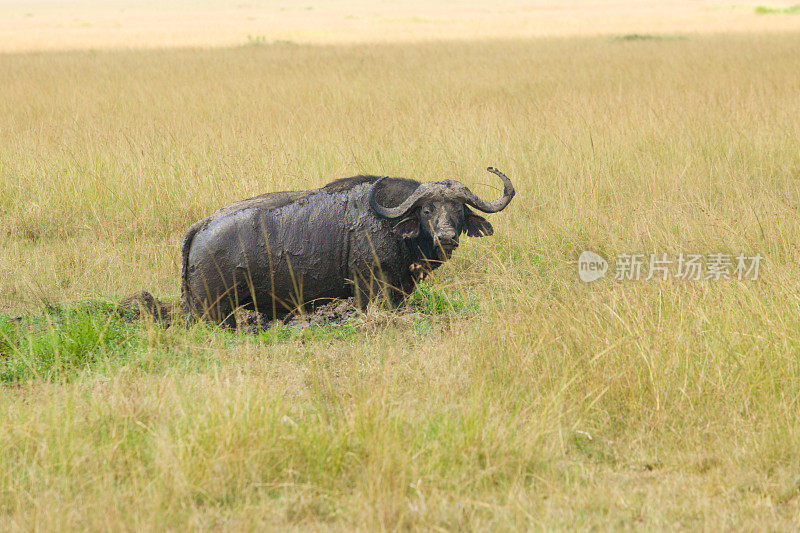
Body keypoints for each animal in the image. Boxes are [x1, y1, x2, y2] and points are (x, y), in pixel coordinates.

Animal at [180, 166, 516, 324]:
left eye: (458, 209)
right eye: (427, 210)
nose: (446, 237)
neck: (390, 222)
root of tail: (200, 226)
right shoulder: (369, 287)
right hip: (215, 311)